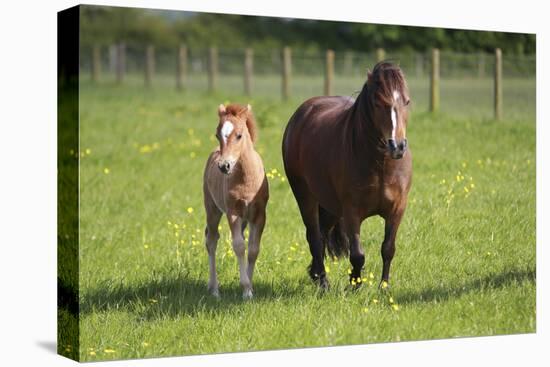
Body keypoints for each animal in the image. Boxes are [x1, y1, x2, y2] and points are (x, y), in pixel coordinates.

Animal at [205, 103, 270, 300]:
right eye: (217, 135)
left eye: (239, 135)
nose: (224, 166)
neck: (246, 179)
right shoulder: (232, 212)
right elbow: (239, 246)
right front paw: (246, 289)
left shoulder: (259, 215)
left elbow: (253, 249)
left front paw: (250, 287)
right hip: (212, 209)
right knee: (211, 240)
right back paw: (214, 289)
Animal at [284, 61, 414, 288]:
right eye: (378, 103)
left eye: (406, 101)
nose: (397, 146)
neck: (380, 164)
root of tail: (300, 115)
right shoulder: (352, 211)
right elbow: (358, 255)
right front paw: (355, 284)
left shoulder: (397, 209)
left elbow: (388, 249)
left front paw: (384, 287)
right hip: (305, 196)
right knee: (314, 237)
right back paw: (323, 282)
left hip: (331, 206)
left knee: (322, 234)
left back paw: (315, 274)